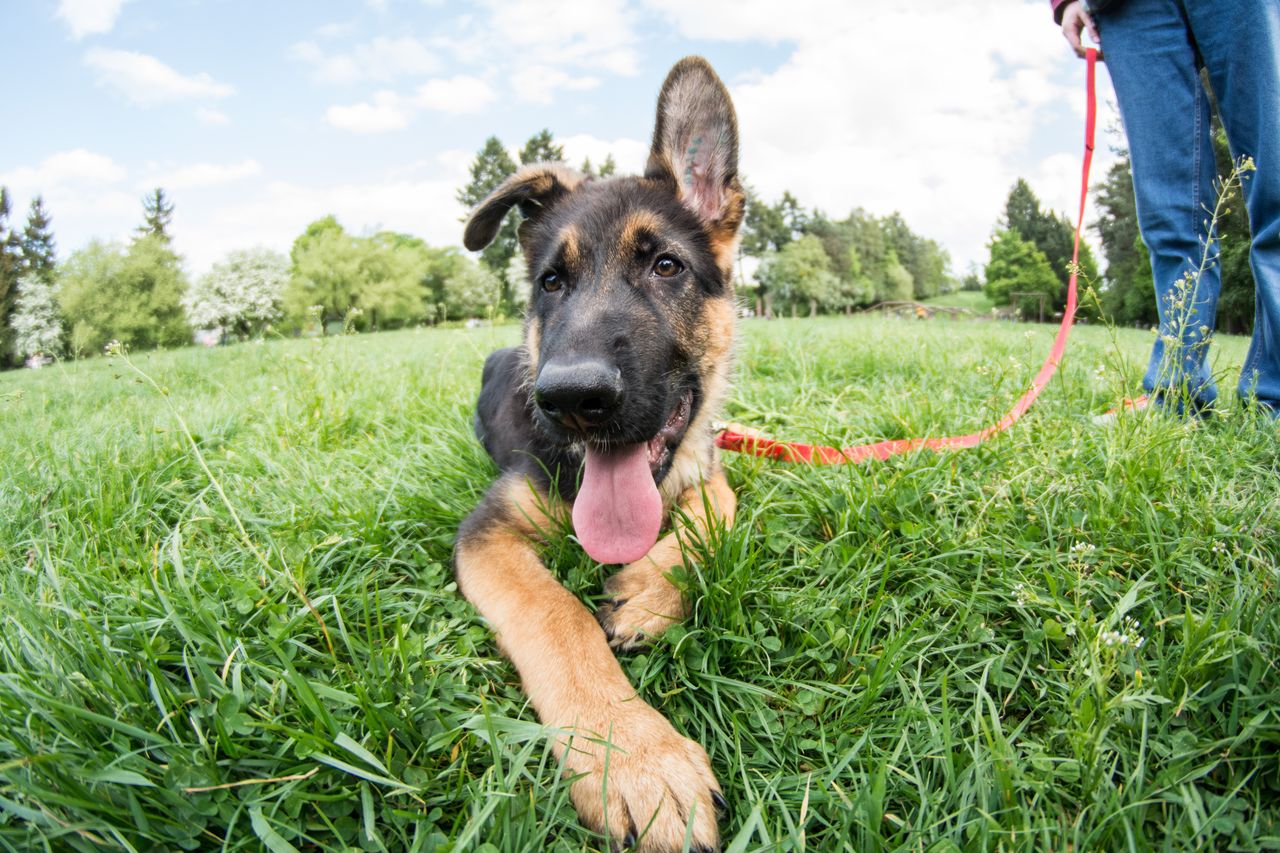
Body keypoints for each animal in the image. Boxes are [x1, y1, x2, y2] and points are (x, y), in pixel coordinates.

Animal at [458, 54, 742, 850]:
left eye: (667, 267)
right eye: (553, 281)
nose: (572, 397)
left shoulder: (709, 462)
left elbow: (718, 506)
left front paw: (646, 591)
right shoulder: (486, 534)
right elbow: (558, 615)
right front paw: (635, 755)